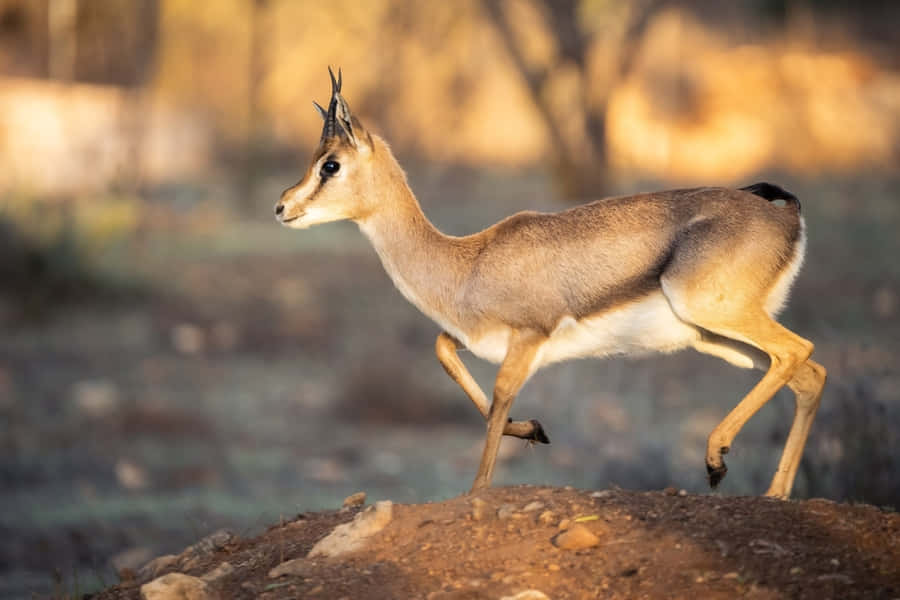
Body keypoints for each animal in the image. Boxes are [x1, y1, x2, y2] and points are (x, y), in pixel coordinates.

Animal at [275, 69, 826, 499]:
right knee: (808, 374)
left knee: (799, 351)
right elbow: (445, 352)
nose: (282, 208)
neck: (468, 262)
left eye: (331, 164)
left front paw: (479, 490)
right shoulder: (479, 339)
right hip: (718, 338)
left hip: (716, 315)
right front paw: (536, 430)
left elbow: (497, 400)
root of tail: (785, 213)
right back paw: (774, 492)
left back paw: (716, 460)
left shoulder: (528, 338)